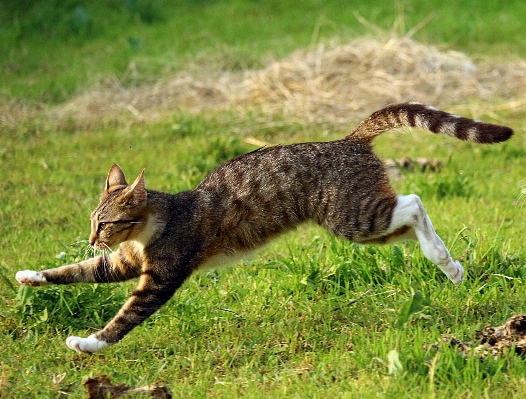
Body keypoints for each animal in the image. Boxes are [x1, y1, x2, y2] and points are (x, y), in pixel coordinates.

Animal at [15, 102, 516, 354]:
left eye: (104, 223)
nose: (90, 239)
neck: (154, 224)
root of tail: (348, 140)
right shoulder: (122, 264)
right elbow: (73, 273)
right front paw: (28, 275)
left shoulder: (159, 277)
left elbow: (124, 317)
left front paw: (89, 343)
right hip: (368, 221)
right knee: (411, 220)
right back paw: (449, 265)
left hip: (352, 217)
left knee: (413, 203)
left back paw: (443, 259)